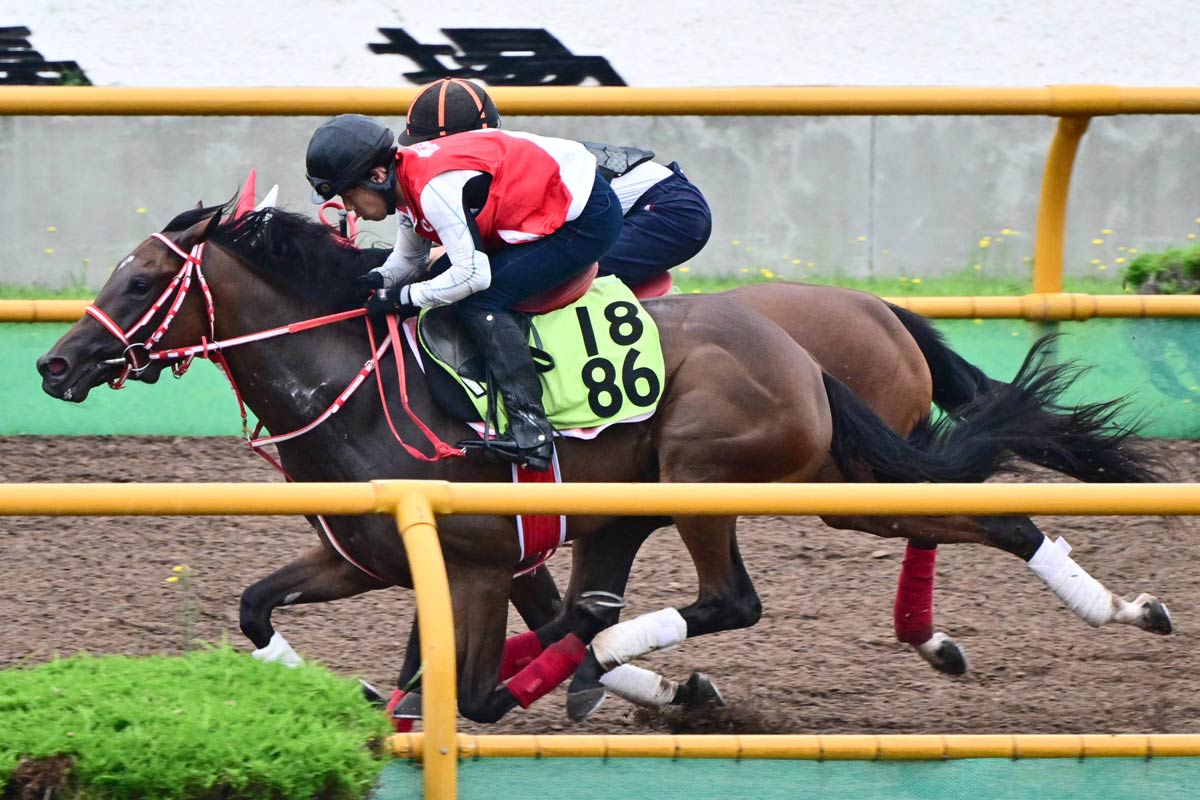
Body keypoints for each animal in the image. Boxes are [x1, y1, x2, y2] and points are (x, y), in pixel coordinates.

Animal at [37, 204, 1172, 725]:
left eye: (139, 280)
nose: (55, 361)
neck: (354, 391)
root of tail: (799, 343)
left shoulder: (478, 560)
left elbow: (463, 687)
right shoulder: (371, 556)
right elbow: (257, 607)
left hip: (712, 477)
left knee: (732, 596)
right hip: (830, 485)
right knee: (982, 512)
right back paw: (1118, 607)